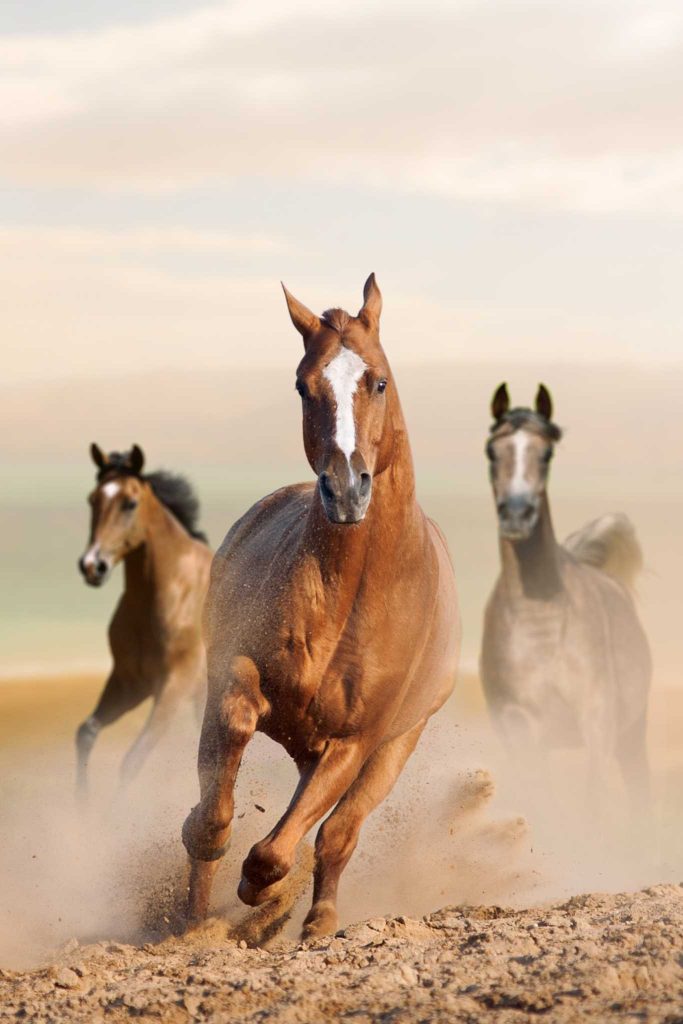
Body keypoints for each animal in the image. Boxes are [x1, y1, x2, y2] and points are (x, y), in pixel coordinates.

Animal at [76, 444, 210, 794]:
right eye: (92, 499)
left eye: (130, 503)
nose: (92, 565)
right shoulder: (130, 682)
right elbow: (86, 732)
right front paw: (82, 802)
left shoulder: (174, 685)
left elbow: (132, 760)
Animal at [181, 274, 458, 937]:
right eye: (304, 386)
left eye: (378, 380)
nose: (347, 489)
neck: (349, 595)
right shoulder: (236, 677)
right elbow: (220, 784)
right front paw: (211, 860)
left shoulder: (356, 741)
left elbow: (287, 848)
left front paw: (263, 892)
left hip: (393, 747)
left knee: (337, 835)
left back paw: (316, 920)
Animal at [481, 385, 651, 815]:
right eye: (492, 451)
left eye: (546, 453)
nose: (517, 515)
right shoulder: (520, 729)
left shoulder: (597, 722)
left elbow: (593, 802)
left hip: (632, 734)